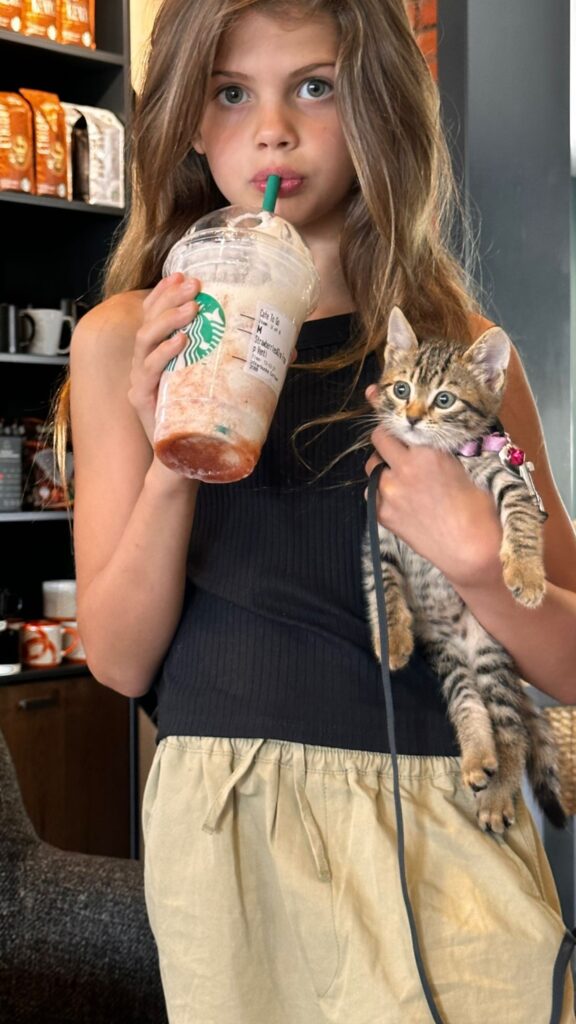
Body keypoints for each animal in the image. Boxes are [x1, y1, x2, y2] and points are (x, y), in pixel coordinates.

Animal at [362, 306, 566, 834]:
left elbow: (521, 517)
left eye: (444, 399)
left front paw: (527, 576)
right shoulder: (376, 527)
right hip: (448, 656)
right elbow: (382, 584)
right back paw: (478, 760)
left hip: (493, 653)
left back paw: (497, 791)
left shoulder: (507, 480)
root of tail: (462, 635)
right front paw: (392, 637)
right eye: (401, 389)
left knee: (511, 729)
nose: (413, 418)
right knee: (468, 703)